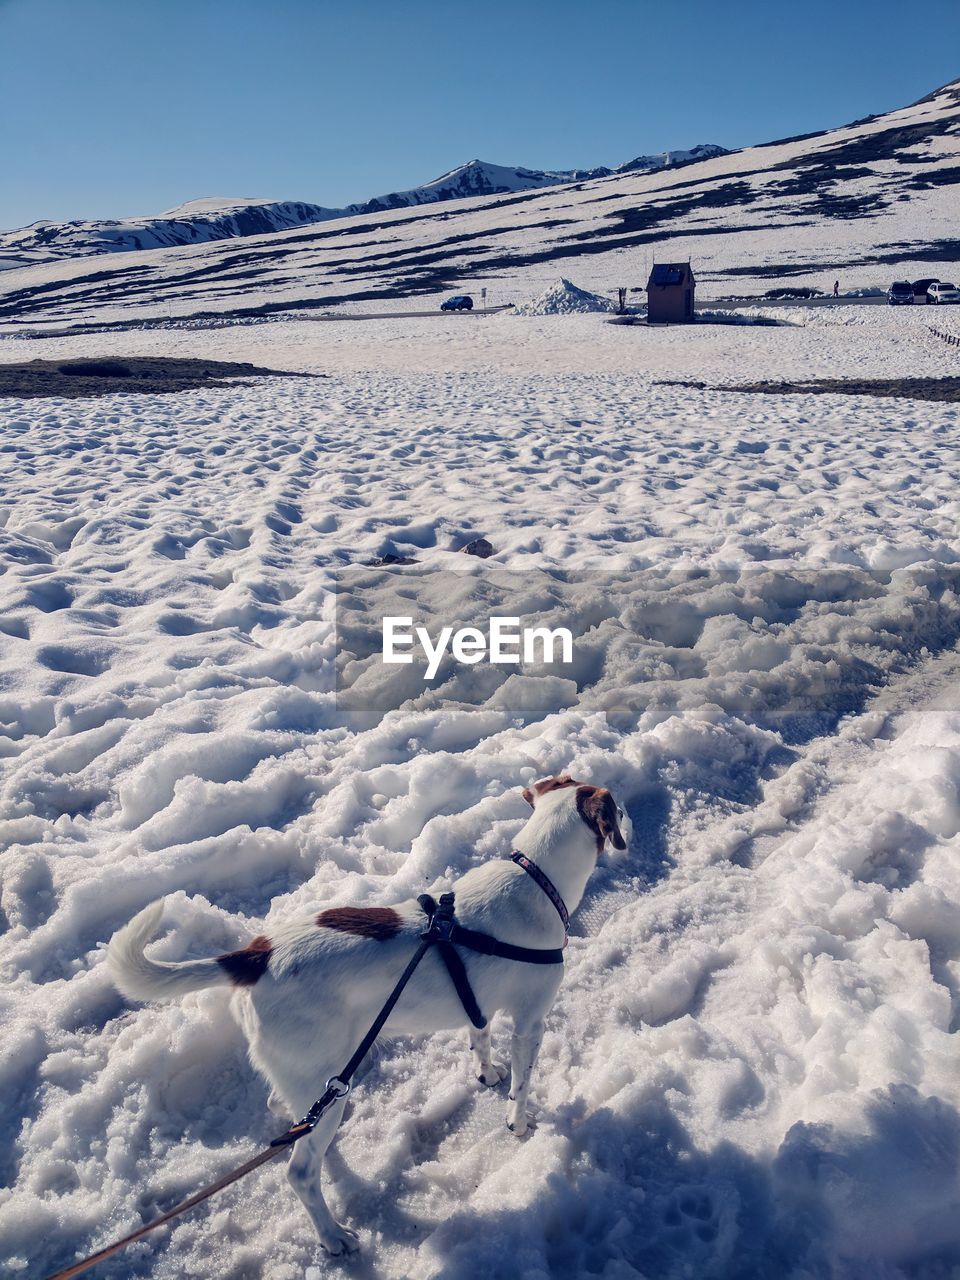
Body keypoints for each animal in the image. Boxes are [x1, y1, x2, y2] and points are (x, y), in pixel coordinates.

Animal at [108, 773, 627, 1254]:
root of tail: (256, 955)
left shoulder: (479, 1005)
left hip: (309, 1075)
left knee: (292, 1119)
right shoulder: (530, 1021)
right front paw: (519, 1122)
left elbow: (480, 1036)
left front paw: (487, 1072)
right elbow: (523, 1083)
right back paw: (333, 1236)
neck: (535, 875)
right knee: (300, 1171)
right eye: (618, 811)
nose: (630, 819)